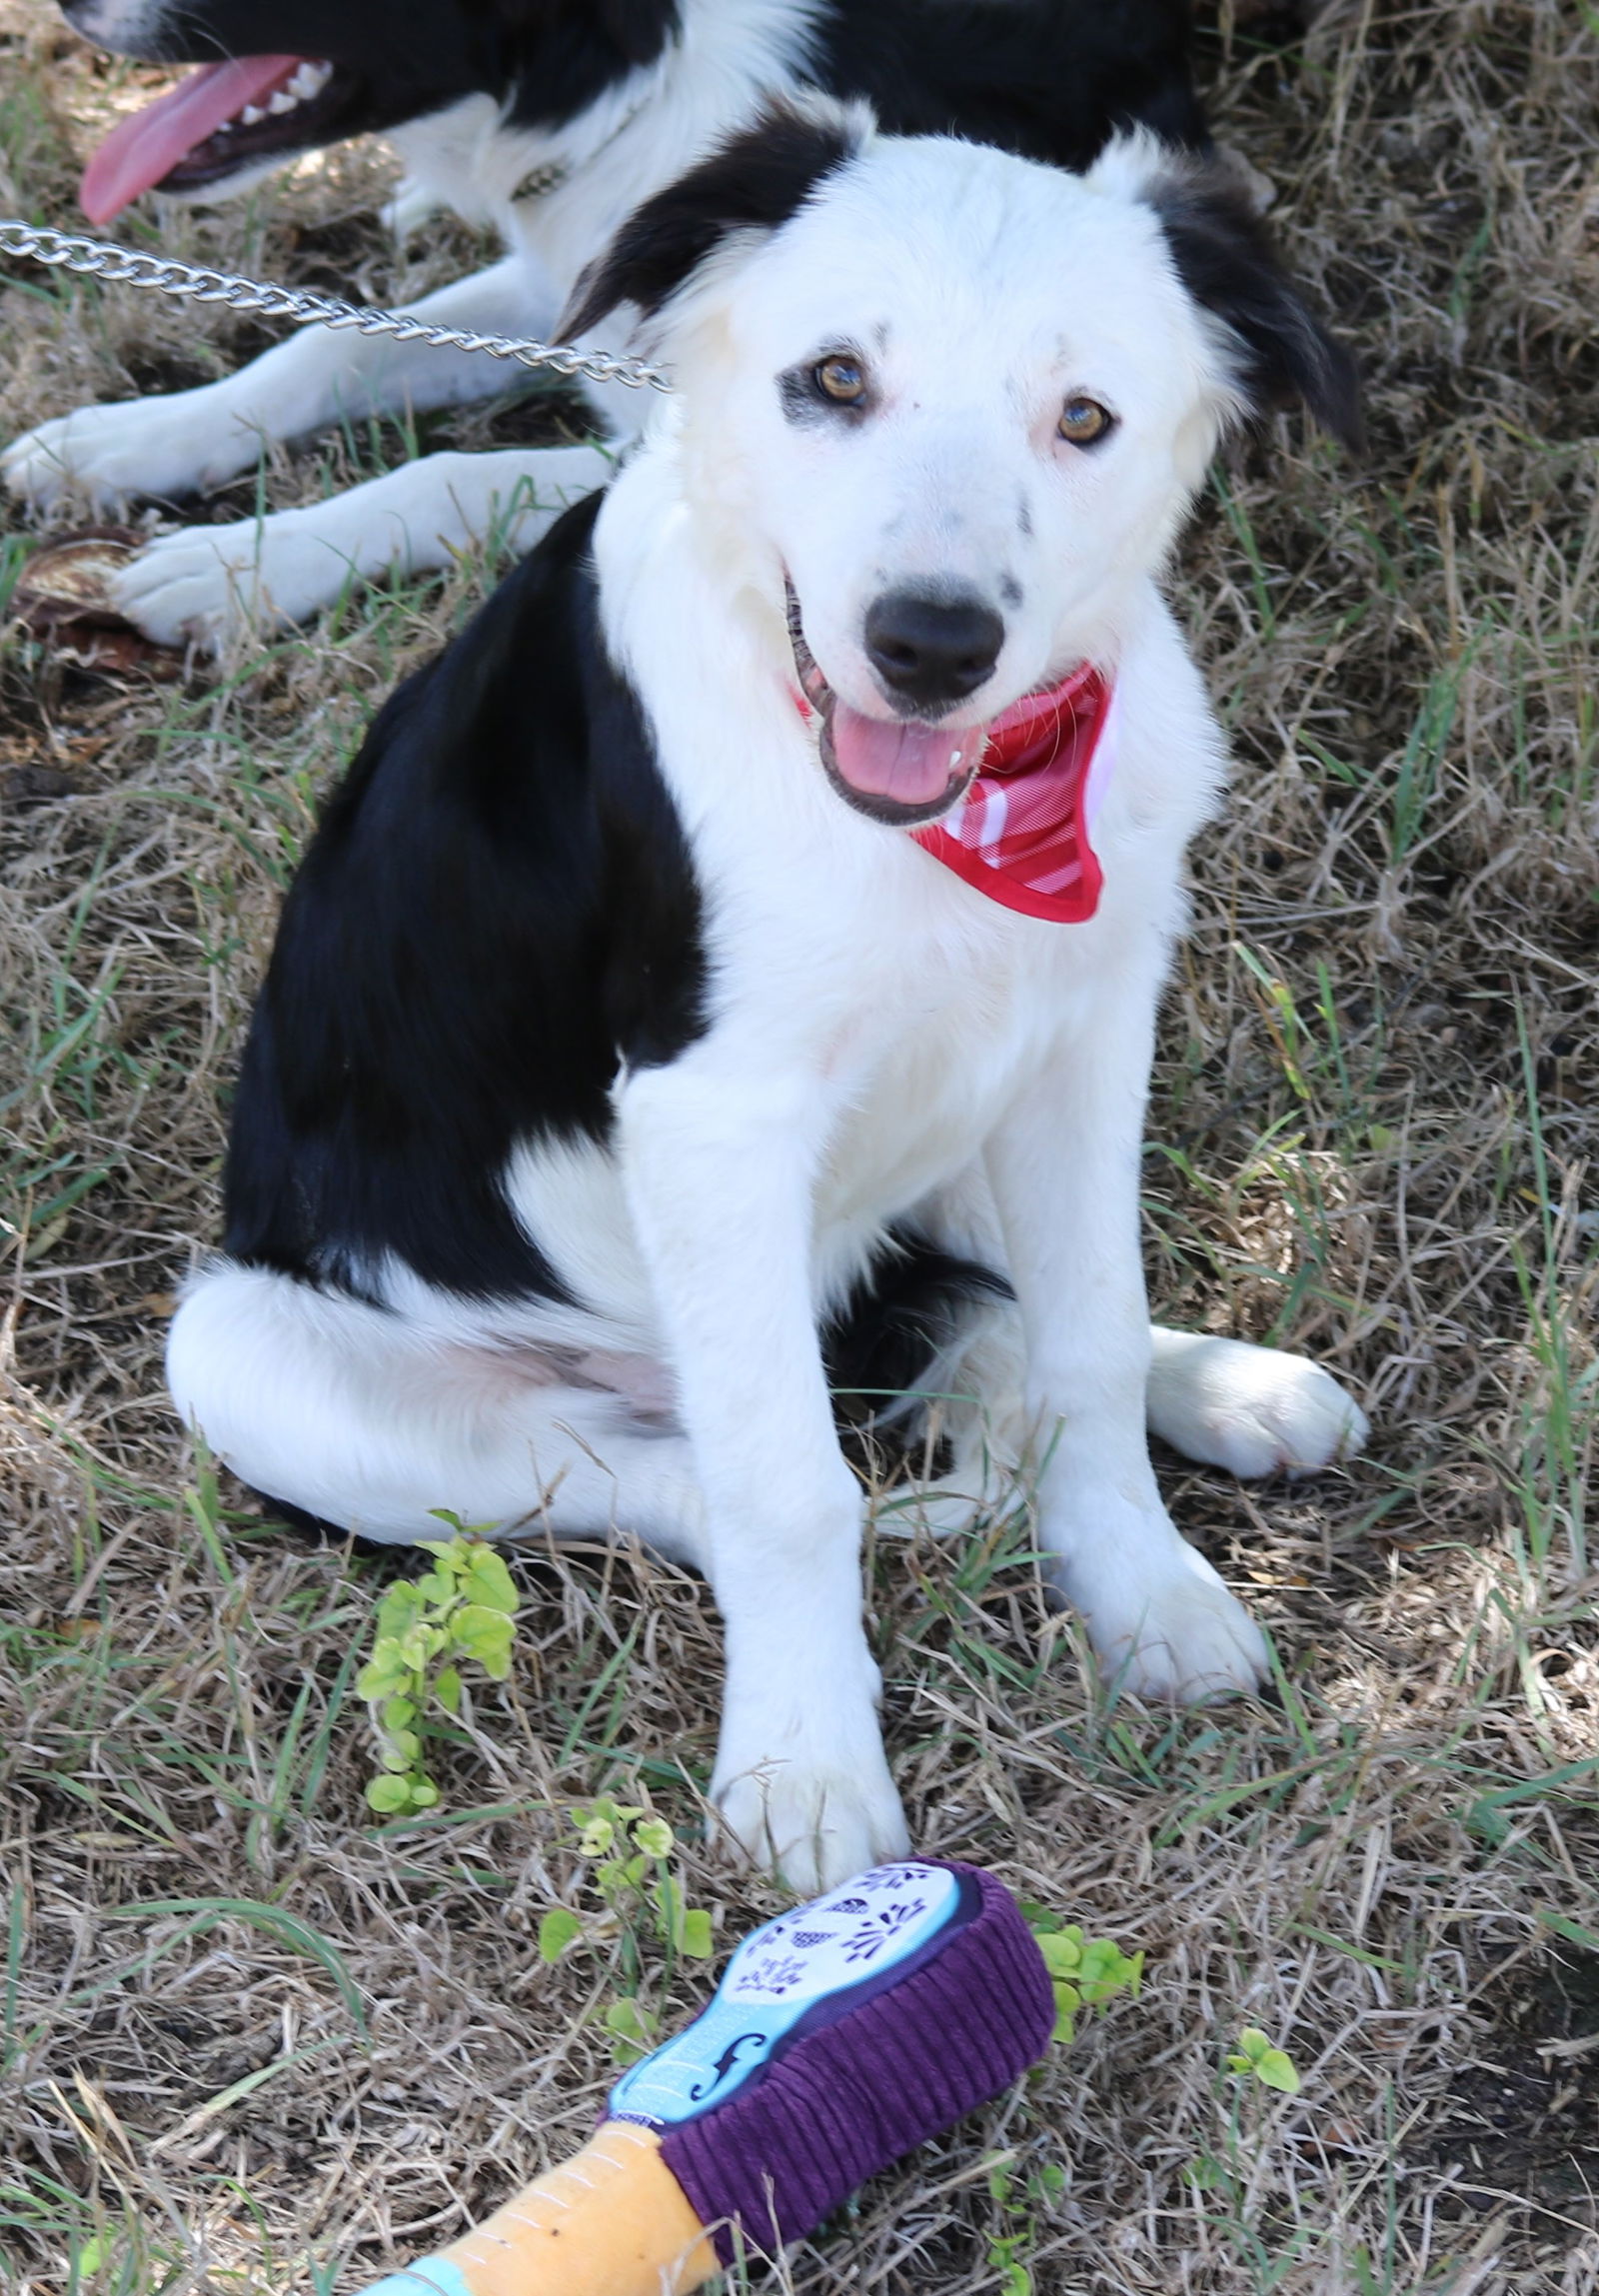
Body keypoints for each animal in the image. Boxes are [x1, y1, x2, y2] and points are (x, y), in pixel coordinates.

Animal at [3, 2, 1211, 647]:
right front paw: (122, 442)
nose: (64, 13)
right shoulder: (576, 282)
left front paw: (236, 565)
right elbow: (332, 342)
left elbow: (442, 476)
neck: (638, 83)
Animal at [161, 107, 1367, 1891]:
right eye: (833, 380)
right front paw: (805, 1765)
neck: (952, 812)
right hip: (254, 1357)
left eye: (1084, 418)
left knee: (992, 1299)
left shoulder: (1085, 1030)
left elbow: (1088, 1328)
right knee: (701, 1477)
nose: (931, 643)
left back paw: (1226, 1385)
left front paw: (1143, 1585)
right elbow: (793, 1491)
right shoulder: (711, 1115)